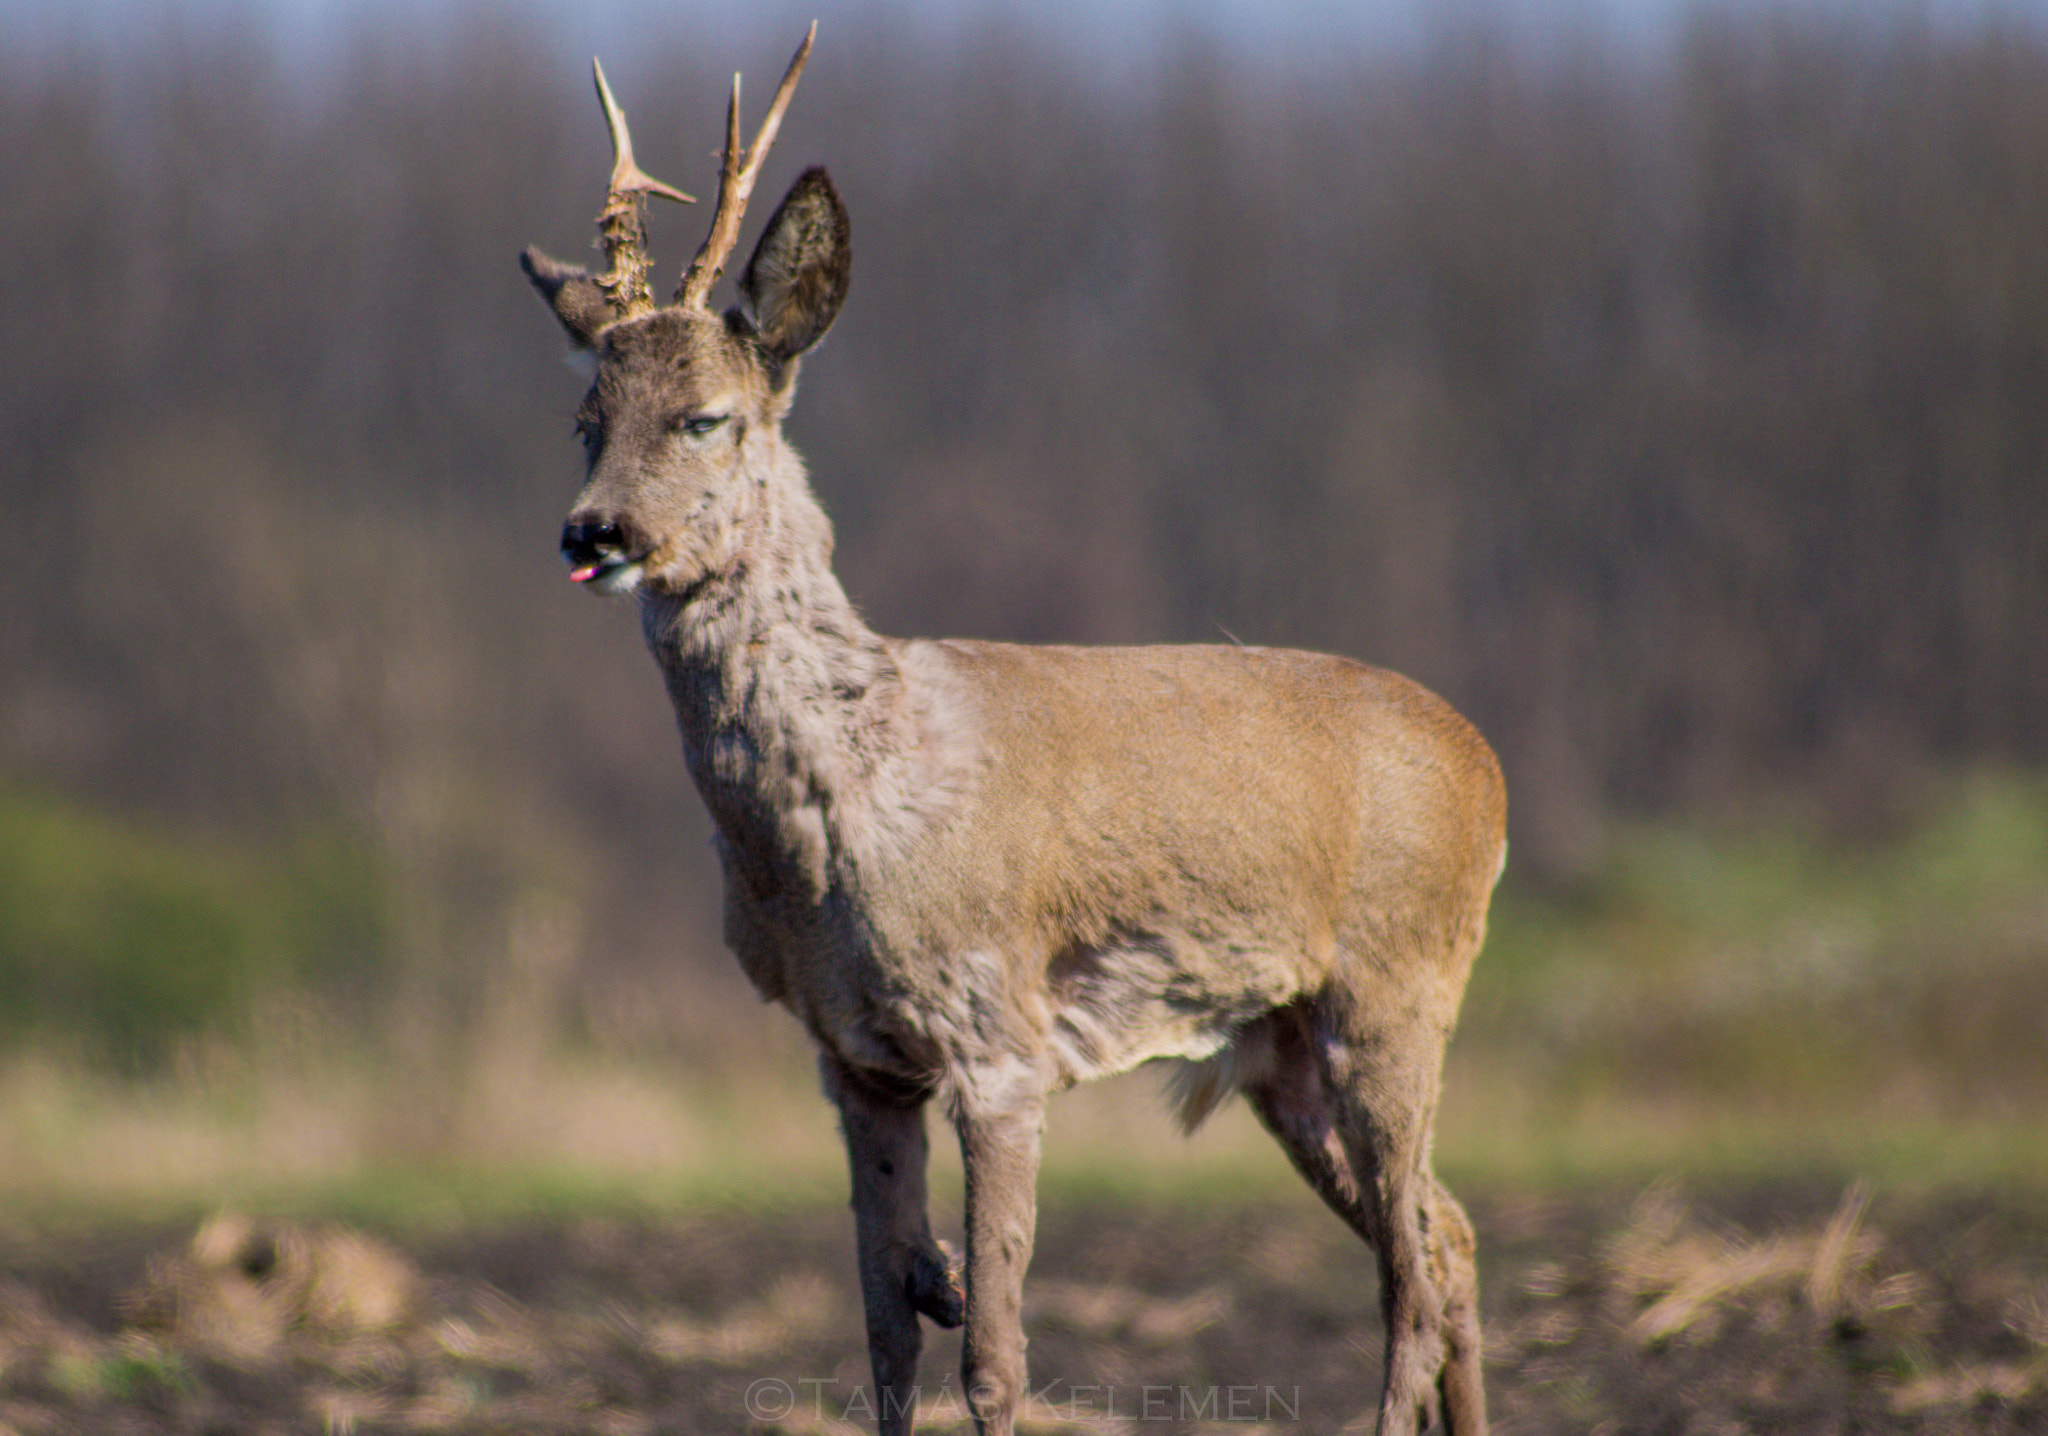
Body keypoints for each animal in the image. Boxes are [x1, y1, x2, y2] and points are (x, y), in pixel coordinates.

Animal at [519, 27, 1505, 1436]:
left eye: (706, 415)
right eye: (584, 421)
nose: (592, 531)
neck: (853, 804)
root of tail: (1486, 765)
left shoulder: (998, 1033)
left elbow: (992, 1351)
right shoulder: (854, 1058)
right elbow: (885, 1329)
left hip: (1398, 983)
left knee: (1411, 1280)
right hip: (1282, 1045)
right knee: (1446, 1231)